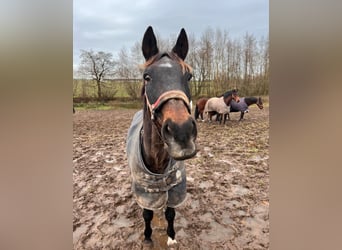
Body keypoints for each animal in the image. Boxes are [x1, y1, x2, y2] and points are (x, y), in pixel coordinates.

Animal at [125, 25, 196, 246]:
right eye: (147, 77)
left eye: (188, 77)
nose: (182, 132)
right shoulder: (144, 191)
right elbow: (147, 214)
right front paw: (148, 237)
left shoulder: (175, 188)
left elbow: (170, 213)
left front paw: (171, 237)